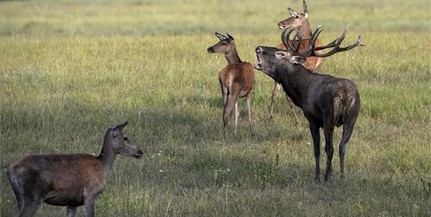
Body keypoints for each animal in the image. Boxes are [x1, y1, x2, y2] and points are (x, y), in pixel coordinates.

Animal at [5, 121, 143, 216]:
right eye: (125, 137)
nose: (140, 151)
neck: (102, 166)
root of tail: (10, 169)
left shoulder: (72, 202)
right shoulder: (90, 194)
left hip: (20, 197)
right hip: (33, 196)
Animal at [255, 25, 366, 181]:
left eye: (280, 53)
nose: (258, 48)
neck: (301, 93)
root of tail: (345, 95)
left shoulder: (312, 119)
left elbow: (316, 150)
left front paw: (317, 176)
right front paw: (332, 173)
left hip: (329, 116)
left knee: (330, 148)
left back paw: (325, 178)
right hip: (352, 117)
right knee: (342, 146)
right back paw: (342, 176)